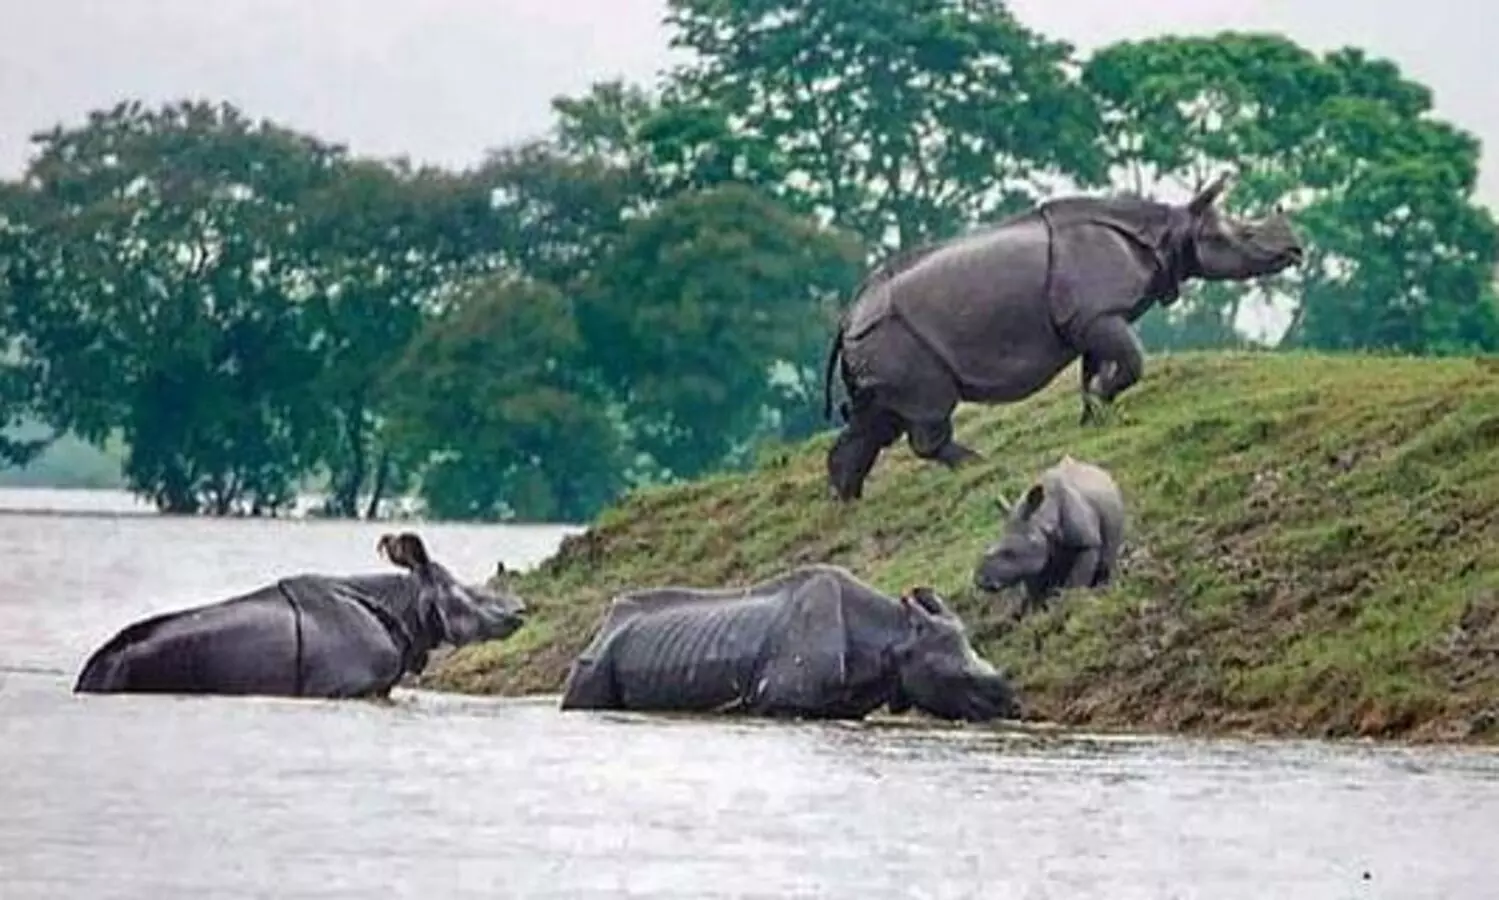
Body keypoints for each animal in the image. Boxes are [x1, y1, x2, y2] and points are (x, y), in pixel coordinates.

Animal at [559, 563, 1019, 722]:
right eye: (962, 679)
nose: (1012, 708)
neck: (893, 636)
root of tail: (602, 628)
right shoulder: (784, 702)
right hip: (596, 661)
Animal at [821, 173, 1304, 500]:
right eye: (1245, 235)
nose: (1296, 251)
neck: (1170, 230)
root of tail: (846, 319)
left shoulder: (1089, 320)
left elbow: (1095, 370)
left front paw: (1094, 416)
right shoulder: (1097, 315)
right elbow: (1132, 362)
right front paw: (1104, 403)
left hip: (876, 340)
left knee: (875, 417)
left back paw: (848, 500)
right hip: (895, 336)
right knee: (926, 410)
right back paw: (980, 466)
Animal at [973, 455, 1126, 613]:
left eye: (1009, 553)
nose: (981, 581)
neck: (1041, 520)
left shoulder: (1087, 544)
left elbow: (1077, 579)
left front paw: (1072, 602)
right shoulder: (1032, 561)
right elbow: (1035, 591)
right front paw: (1037, 613)